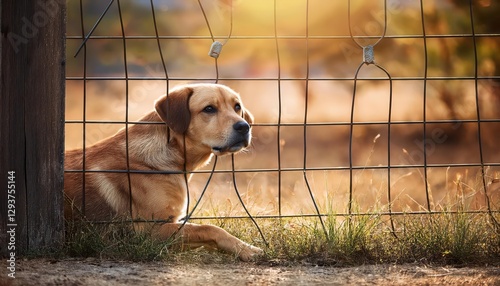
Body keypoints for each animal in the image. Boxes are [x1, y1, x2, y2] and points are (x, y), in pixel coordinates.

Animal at [64, 83, 264, 262]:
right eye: (209, 109)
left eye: (237, 106)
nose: (244, 127)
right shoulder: (148, 232)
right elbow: (208, 228)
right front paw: (246, 249)